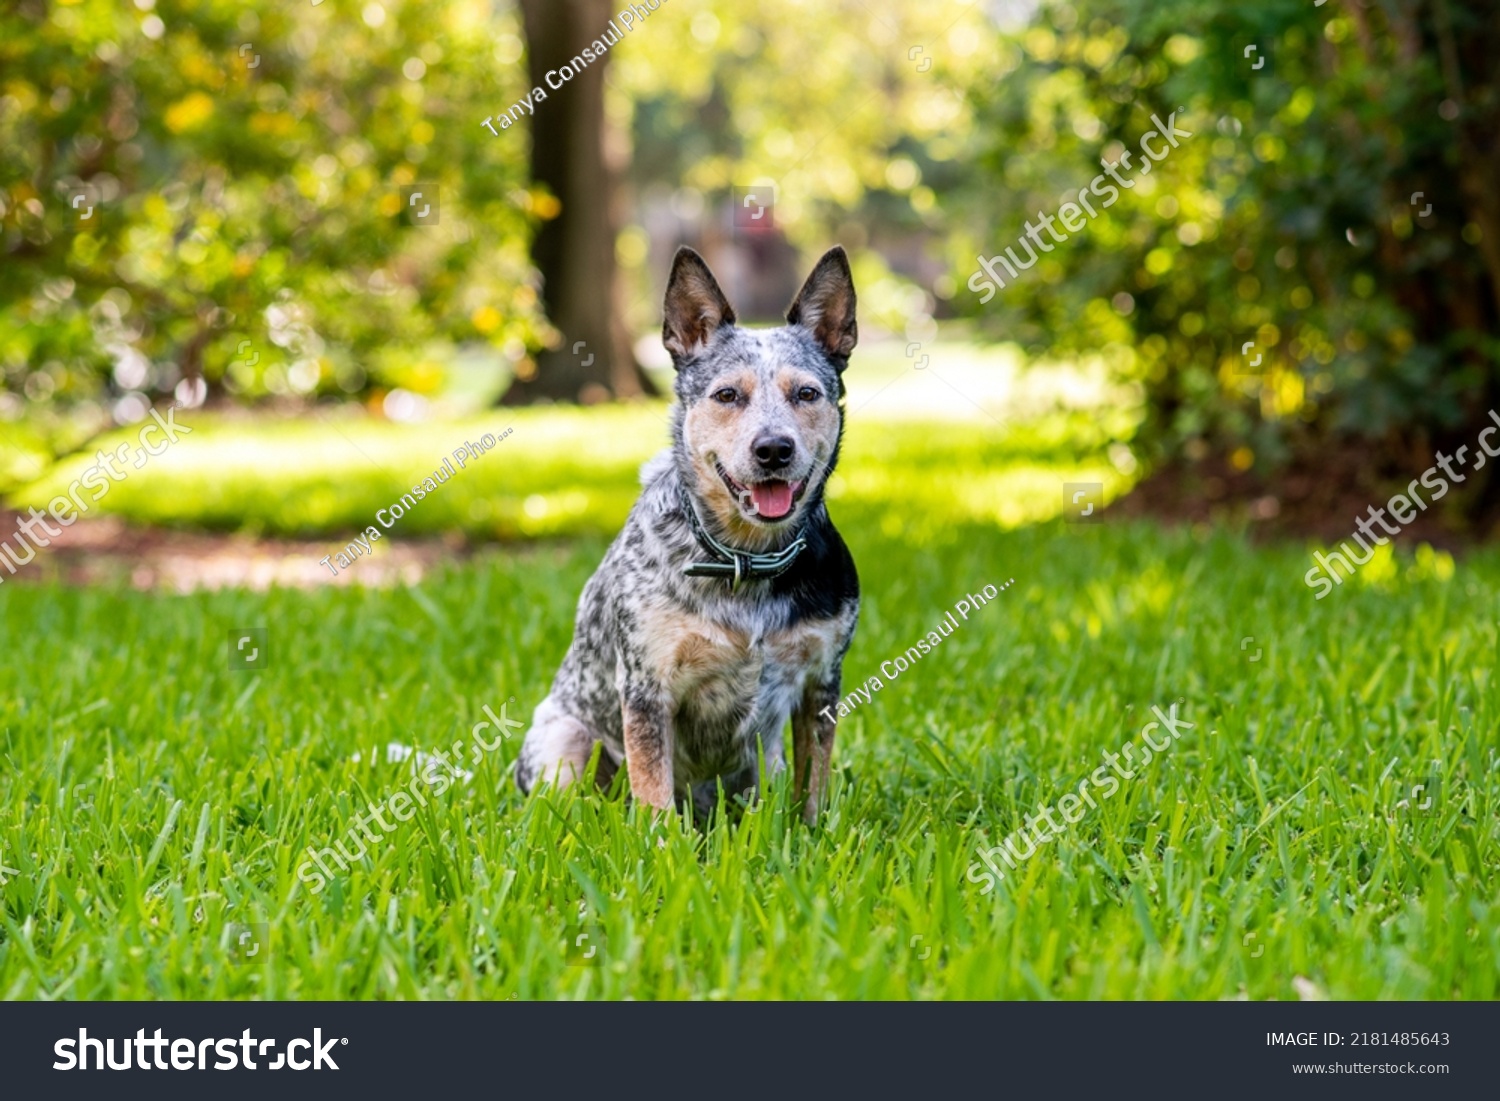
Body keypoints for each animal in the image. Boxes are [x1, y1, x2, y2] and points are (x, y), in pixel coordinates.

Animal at [516, 243, 864, 828]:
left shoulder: (821, 683)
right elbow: (654, 797)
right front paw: (659, 847)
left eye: (807, 393)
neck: (745, 560)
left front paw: (813, 834)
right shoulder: (647, 688)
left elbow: (812, 786)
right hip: (563, 740)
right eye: (726, 394)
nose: (774, 448)